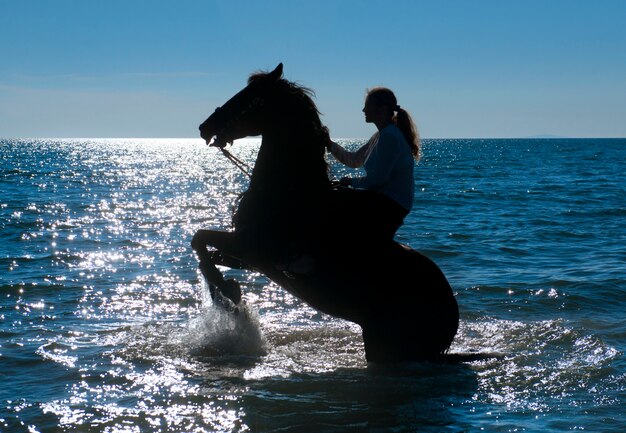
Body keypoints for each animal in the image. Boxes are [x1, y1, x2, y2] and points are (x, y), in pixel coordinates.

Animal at [193, 63, 456, 362]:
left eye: (250, 97)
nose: (205, 127)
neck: (288, 192)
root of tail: (451, 311)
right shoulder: (249, 258)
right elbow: (203, 251)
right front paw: (227, 294)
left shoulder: (250, 247)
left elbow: (200, 239)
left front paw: (229, 293)